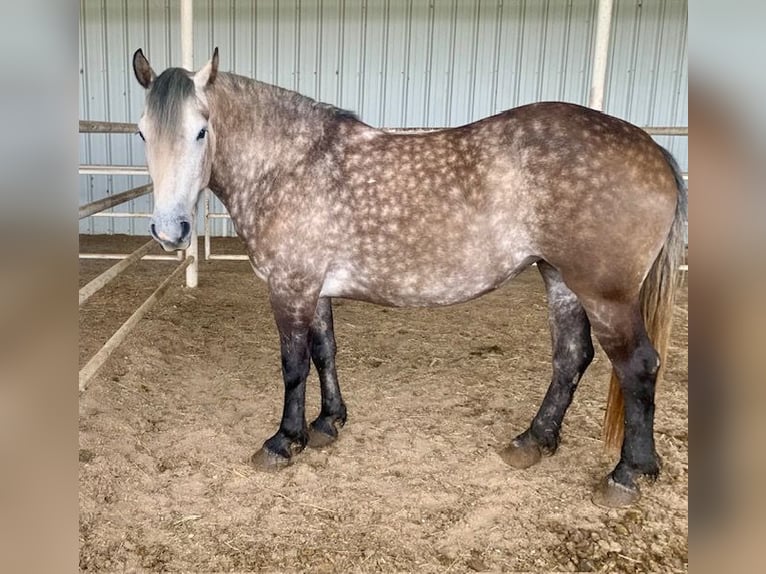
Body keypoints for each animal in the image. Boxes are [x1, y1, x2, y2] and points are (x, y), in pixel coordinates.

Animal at [134, 49, 688, 508]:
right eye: (141, 132)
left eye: (201, 131)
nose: (169, 230)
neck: (288, 165)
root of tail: (655, 151)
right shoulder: (315, 289)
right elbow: (325, 352)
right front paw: (328, 423)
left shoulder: (289, 288)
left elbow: (293, 366)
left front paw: (284, 441)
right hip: (560, 279)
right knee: (572, 356)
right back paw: (533, 440)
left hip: (606, 295)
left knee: (638, 367)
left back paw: (628, 475)